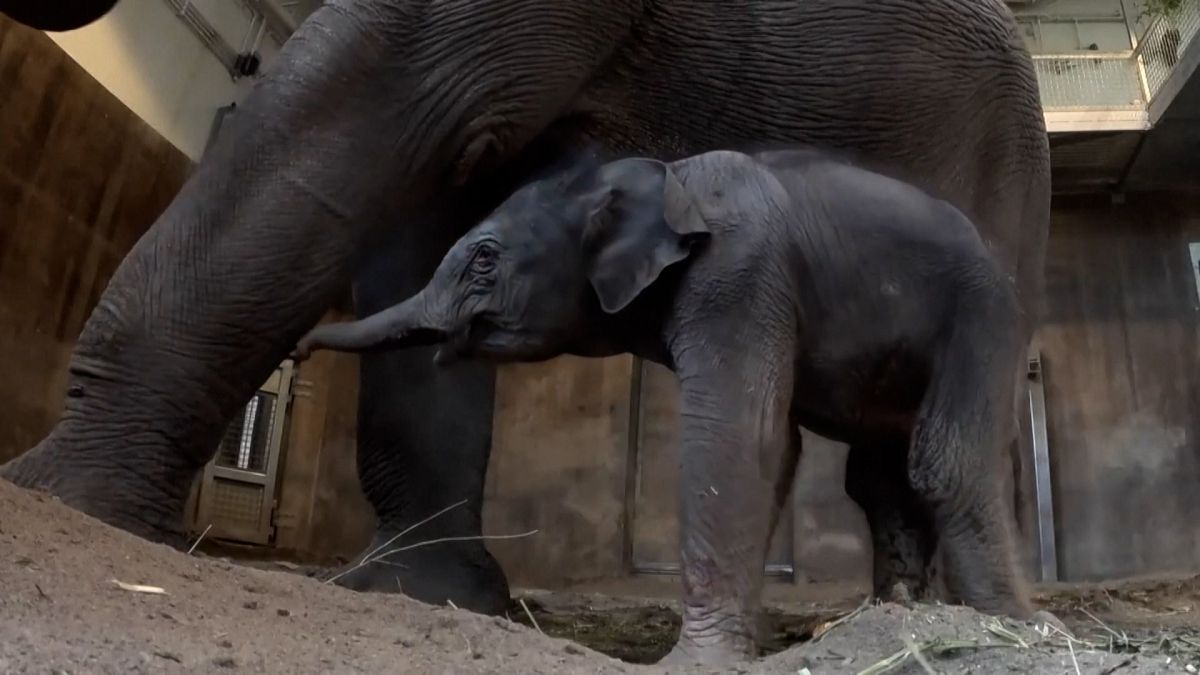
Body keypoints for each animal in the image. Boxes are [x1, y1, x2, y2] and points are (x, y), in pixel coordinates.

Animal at [297, 148, 1041, 662]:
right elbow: (774, 448)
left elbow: (739, 437)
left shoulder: (740, 274)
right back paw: (897, 616)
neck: (659, 175)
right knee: (880, 479)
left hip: (984, 313)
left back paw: (1020, 627)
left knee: (946, 460)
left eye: (484, 260)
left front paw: (696, 661)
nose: (299, 350)